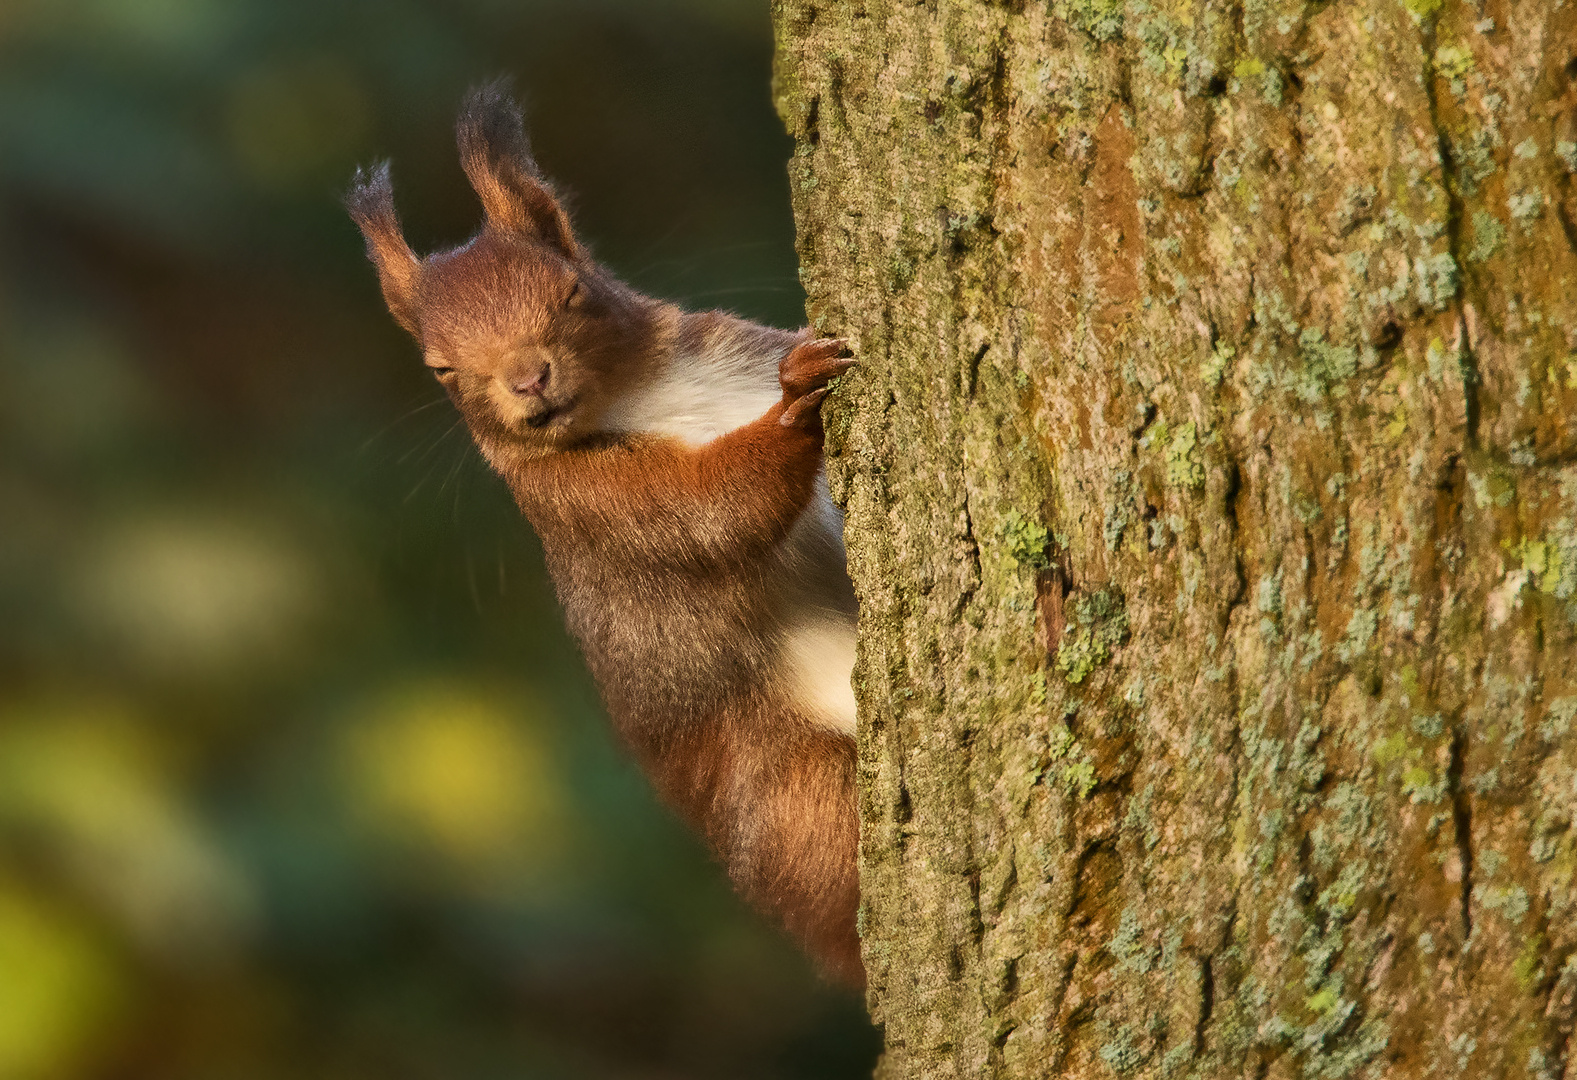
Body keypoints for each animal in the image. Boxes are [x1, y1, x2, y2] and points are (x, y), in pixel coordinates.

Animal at [346, 86, 864, 983]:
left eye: (571, 294)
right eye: (440, 369)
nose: (527, 380)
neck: (645, 397)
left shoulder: (732, 348)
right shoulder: (590, 507)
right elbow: (711, 511)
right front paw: (795, 408)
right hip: (799, 794)